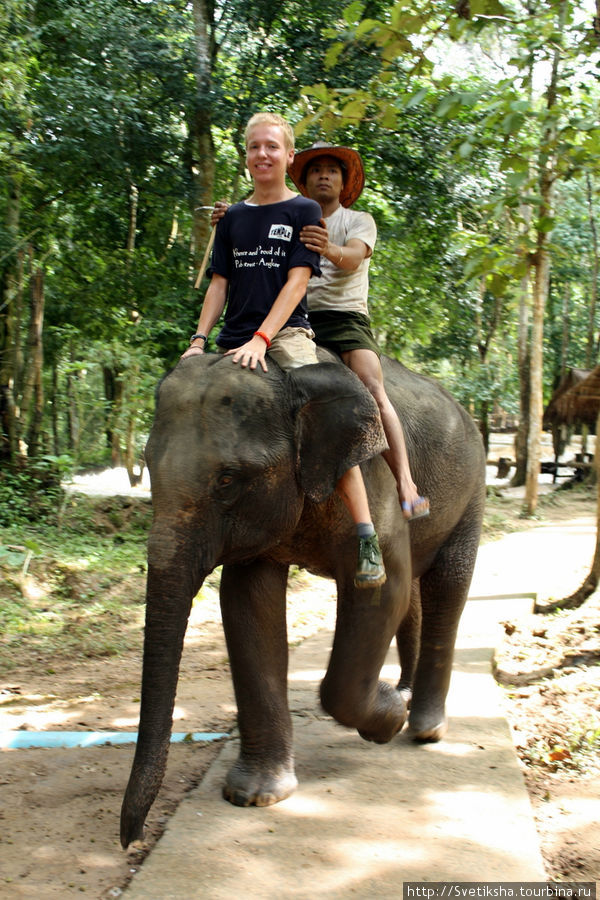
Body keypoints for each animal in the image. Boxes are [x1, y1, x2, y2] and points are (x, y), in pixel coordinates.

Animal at [119, 348, 486, 848]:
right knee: (414, 591)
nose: (131, 838)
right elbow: (247, 602)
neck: (291, 377)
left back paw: (424, 727)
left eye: (228, 480)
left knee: (446, 586)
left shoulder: (370, 478)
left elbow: (379, 591)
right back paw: (405, 694)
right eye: (147, 465)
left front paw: (387, 720)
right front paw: (255, 795)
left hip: (471, 490)